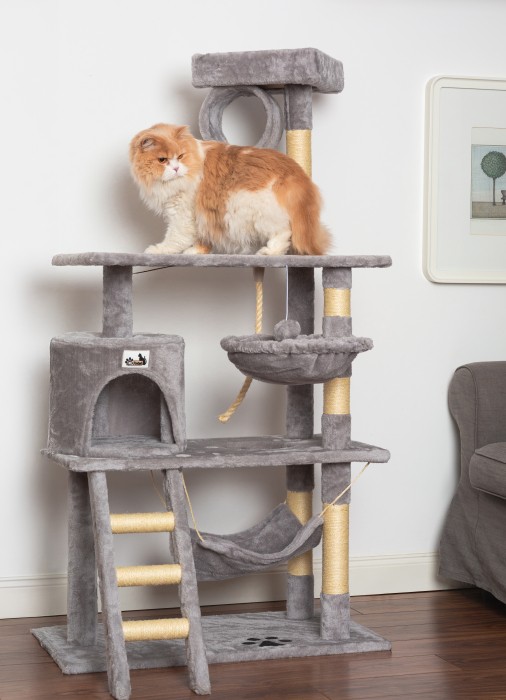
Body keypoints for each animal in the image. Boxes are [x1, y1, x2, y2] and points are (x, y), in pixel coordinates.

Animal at [129, 123, 330, 256]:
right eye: (162, 160)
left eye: (180, 156)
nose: (176, 168)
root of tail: (294, 170)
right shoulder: (202, 216)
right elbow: (201, 238)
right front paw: (195, 252)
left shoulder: (183, 213)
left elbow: (175, 237)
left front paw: (159, 250)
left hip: (255, 209)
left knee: (283, 231)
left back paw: (269, 252)